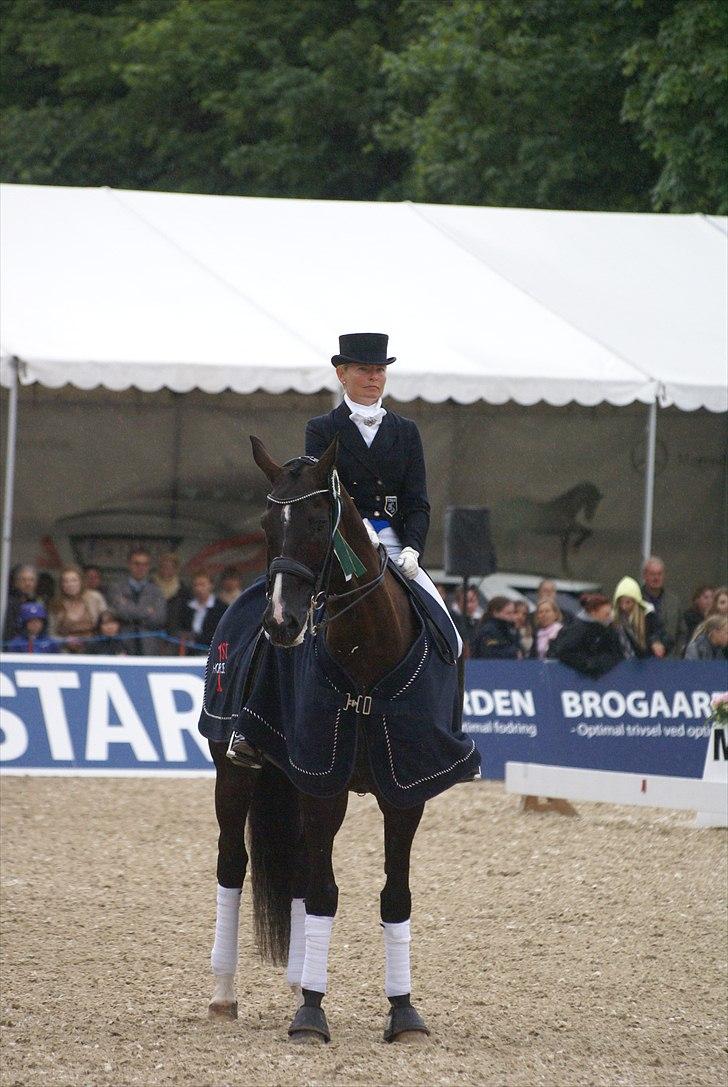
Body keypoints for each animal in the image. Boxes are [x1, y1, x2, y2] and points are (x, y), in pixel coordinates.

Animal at [206, 439, 478, 1043]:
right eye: (266, 525)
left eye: (315, 520)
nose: (282, 623)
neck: (367, 654)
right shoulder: (323, 782)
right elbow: (325, 894)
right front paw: (312, 1013)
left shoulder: (406, 790)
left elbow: (395, 897)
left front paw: (404, 1013)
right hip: (235, 771)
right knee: (232, 865)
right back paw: (223, 995)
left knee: (298, 868)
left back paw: (295, 979)